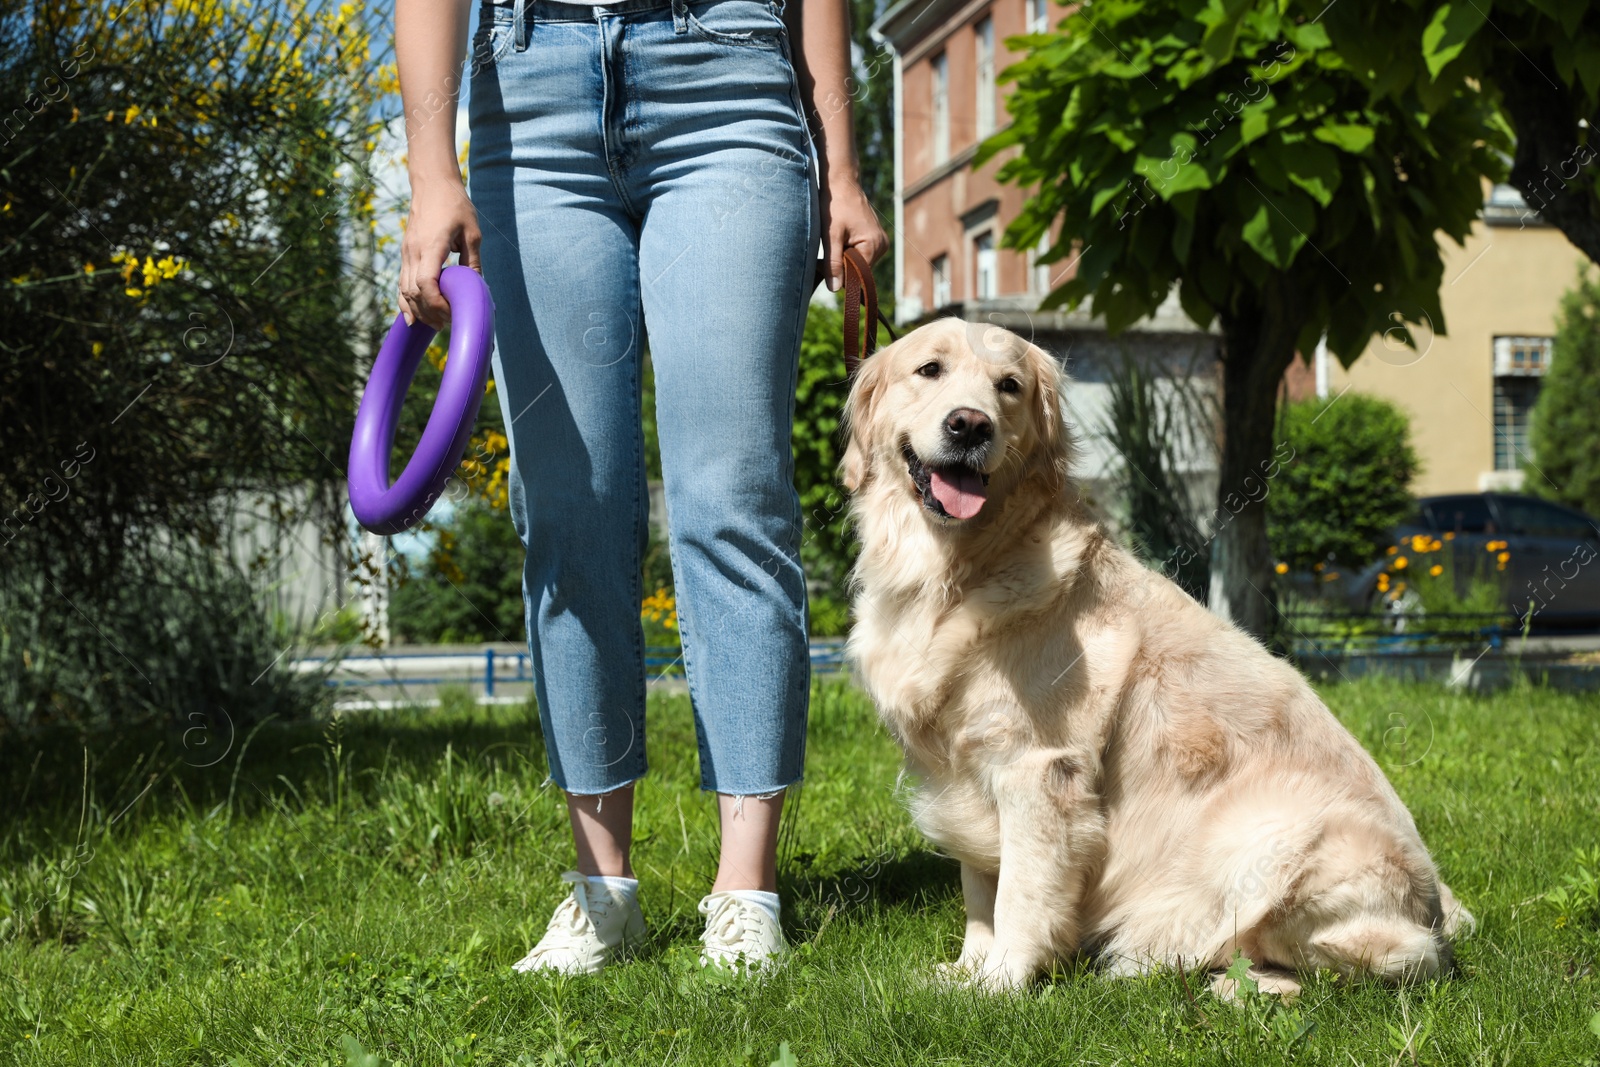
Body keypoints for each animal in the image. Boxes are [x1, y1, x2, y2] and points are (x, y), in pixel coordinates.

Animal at [844, 321, 1465, 998]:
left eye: (1008, 386)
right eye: (929, 370)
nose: (970, 426)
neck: (957, 570)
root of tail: (1437, 912)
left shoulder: (1037, 769)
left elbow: (1018, 895)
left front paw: (1002, 985)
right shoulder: (964, 775)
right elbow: (981, 890)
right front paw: (966, 972)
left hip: (1267, 839)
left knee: (1375, 963)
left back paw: (1227, 982)